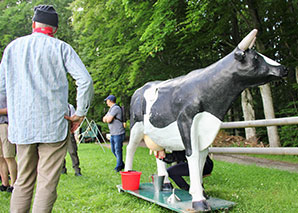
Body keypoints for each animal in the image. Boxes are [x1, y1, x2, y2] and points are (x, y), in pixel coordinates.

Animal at [123, 29, 286, 212]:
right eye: (256, 57)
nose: (283, 68)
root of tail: (139, 89)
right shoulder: (186, 121)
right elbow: (192, 156)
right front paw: (198, 200)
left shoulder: (206, 131)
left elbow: (201, 159)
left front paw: (201, 192)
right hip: (136, 125)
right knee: (130, 148)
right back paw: (128, 177)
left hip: (159, 132)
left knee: (160, 155)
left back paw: (165, 184)